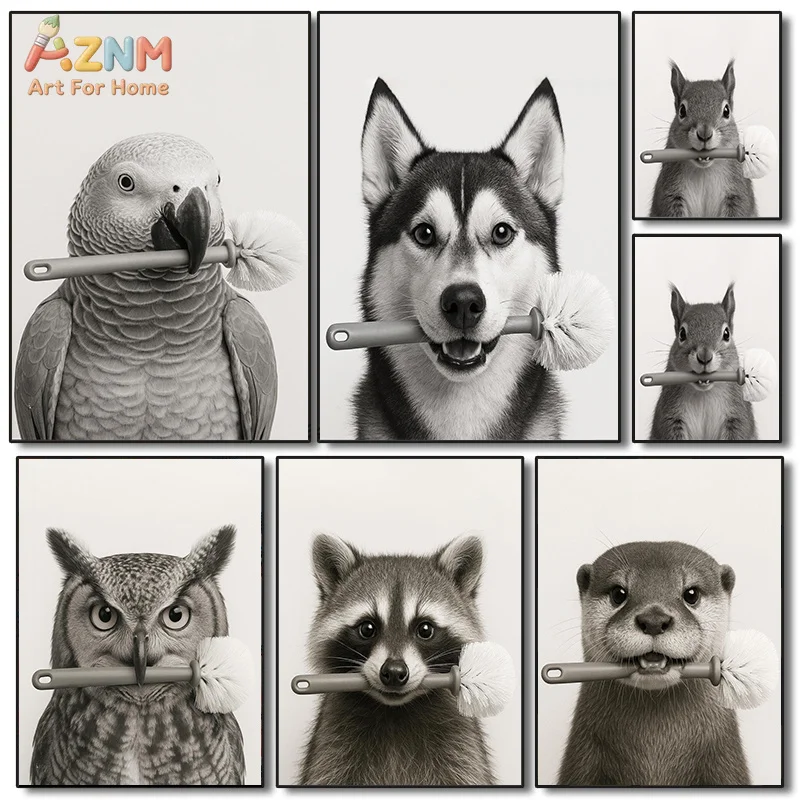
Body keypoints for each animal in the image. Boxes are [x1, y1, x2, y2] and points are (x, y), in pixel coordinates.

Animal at [299, 534, 494, 786]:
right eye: (367, 628)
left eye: (425, 629)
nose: (393, 672)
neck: (395, 711)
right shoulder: (332, 746)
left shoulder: (461, 745)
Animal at [649, 61, 757, 218]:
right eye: (682, 110)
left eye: (726, 111)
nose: (704, 133)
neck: (704, 171)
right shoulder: (669, 193)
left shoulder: (738, 191)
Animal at [649, 283, 757, 441]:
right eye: (681, 334)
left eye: (726, 334)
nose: (704, 356)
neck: (704, 394)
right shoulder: (669, 415)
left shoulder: (738, 414)